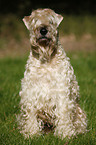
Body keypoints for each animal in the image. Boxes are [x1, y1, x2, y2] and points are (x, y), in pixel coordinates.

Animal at [16, 8, 86, 139]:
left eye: (51, 21)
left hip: (79, 113)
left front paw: (65, 134)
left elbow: (63, 113)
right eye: (35, 20)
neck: (45, 61)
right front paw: (32, 133)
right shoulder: (30, 93)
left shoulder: (62, 92)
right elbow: (31, 114)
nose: (43, 30)